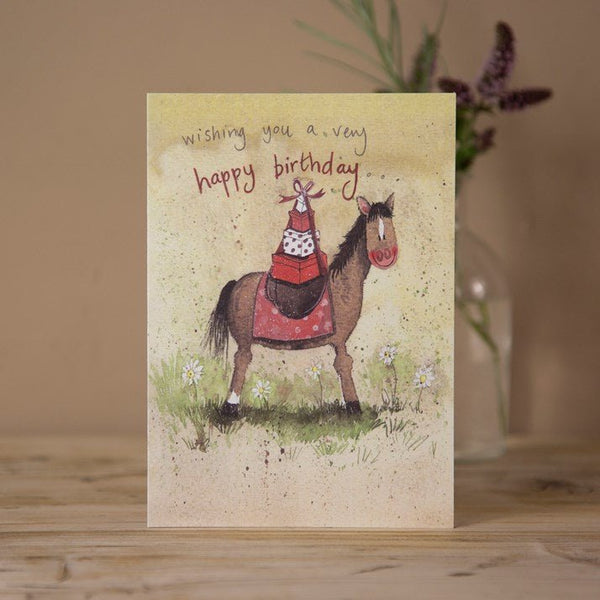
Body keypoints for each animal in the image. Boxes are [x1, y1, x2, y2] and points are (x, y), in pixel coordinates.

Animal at [205, 193, 398, 416]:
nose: (385, 256)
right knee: (241, 361)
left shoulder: (339, 341)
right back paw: (230, 407)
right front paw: (354, 407)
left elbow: (344, 364)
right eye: (372, 228)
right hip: (244, 339)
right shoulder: (340, 340)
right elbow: (344, 365)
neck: (342, 283)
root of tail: (236, 283)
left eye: (391, 224)